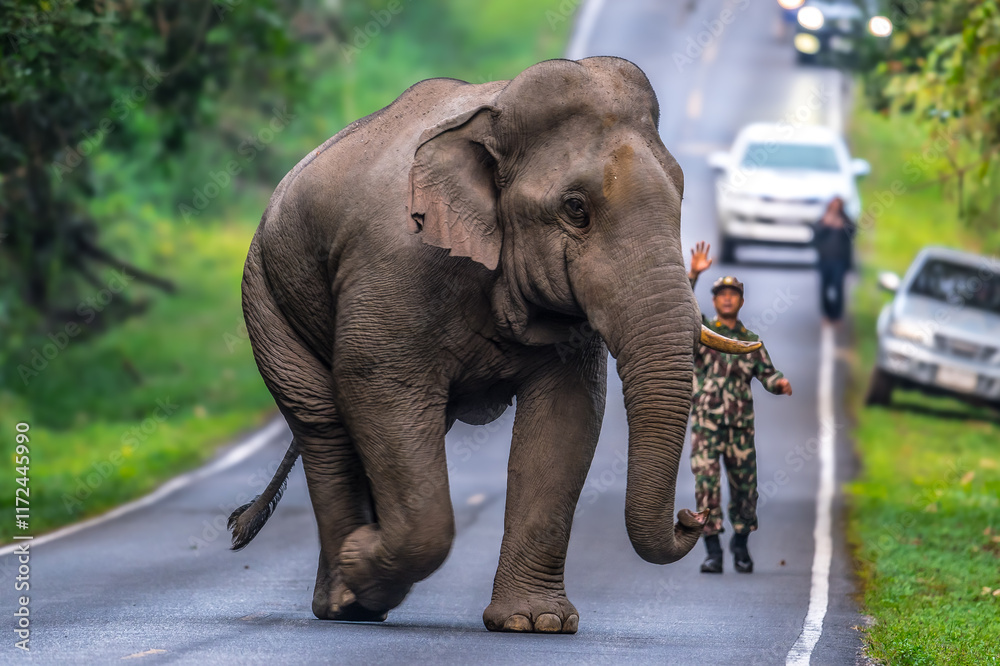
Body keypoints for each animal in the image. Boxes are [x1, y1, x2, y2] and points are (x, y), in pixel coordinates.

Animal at [229, 56, 759, 634]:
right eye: (576, 208)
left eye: (682, 195)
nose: (691, 516)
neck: (492, 121)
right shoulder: (393, 267)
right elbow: (379, 388)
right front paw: (360, 559)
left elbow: (568, 415)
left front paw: (537, 622)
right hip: (265, 292)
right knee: (325, 423)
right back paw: (346, 601)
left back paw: (356, 597)